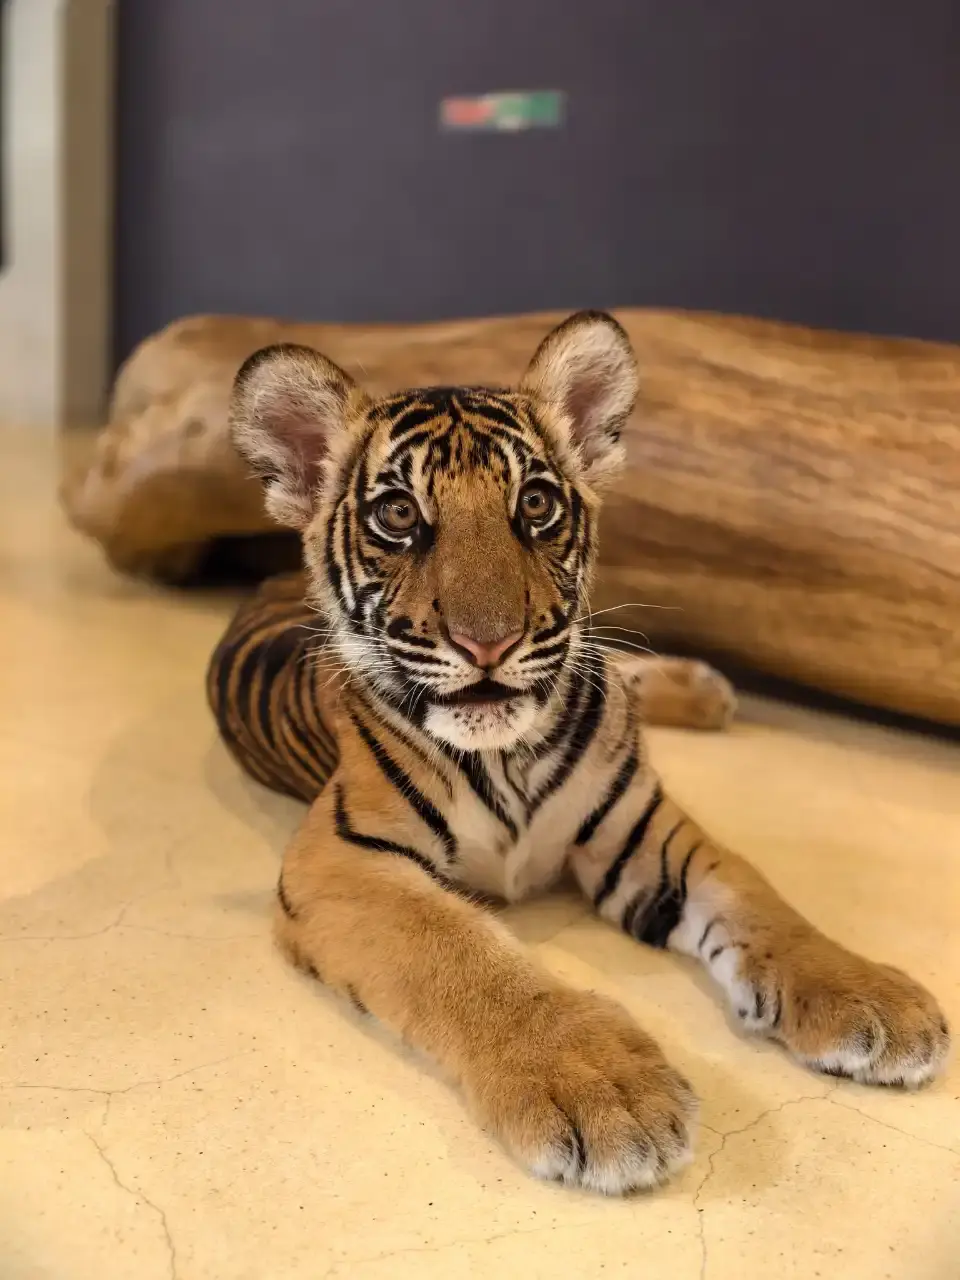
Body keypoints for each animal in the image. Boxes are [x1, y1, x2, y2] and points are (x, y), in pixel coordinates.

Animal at [209, 310, 949, 1195]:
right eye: (397, 515)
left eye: (535, 503)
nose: (488, 643)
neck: (506, 756)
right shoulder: (341, 862)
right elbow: (458, 953)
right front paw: (600, 1087)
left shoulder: (645, 831)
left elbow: (759, 899)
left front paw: (868, 997)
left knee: (622, 665)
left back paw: (707, 690)